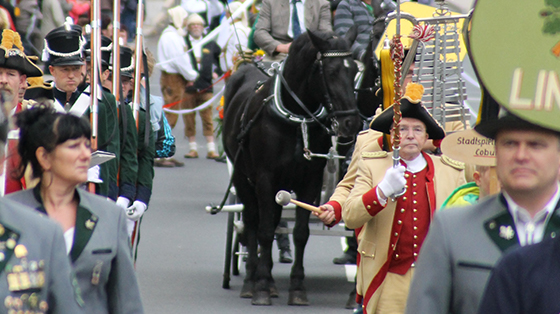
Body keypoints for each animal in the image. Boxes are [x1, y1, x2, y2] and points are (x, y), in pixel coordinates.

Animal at [221, 30, 360, 306]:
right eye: (331, 72)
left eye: (354, 71)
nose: (352, 122)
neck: (297, 119)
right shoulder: (265, 179)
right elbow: (264, 231)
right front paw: (262, 288)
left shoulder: (310, 181)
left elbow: (300, 232)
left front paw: (297, 287)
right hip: (242, 177)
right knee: (251, 222)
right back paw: (252, 279)